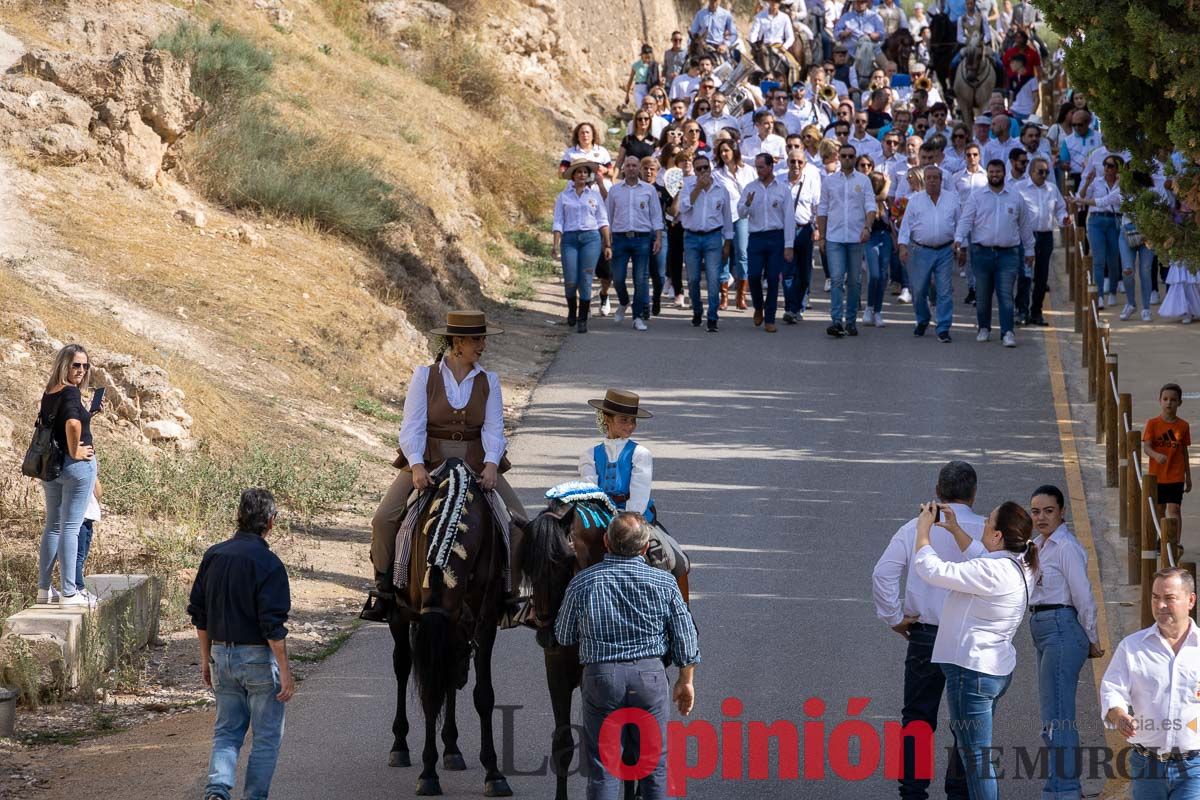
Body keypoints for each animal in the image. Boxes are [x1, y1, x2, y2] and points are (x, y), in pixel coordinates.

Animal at [388, 460, 511, 796]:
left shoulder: (482, 623)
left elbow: (483, 694)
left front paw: (494, 773)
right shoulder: (428, 624)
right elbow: (431, 687)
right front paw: (428, 774)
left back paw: (452, 749)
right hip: (400, 616)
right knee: (403, 666)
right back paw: (400, 746)